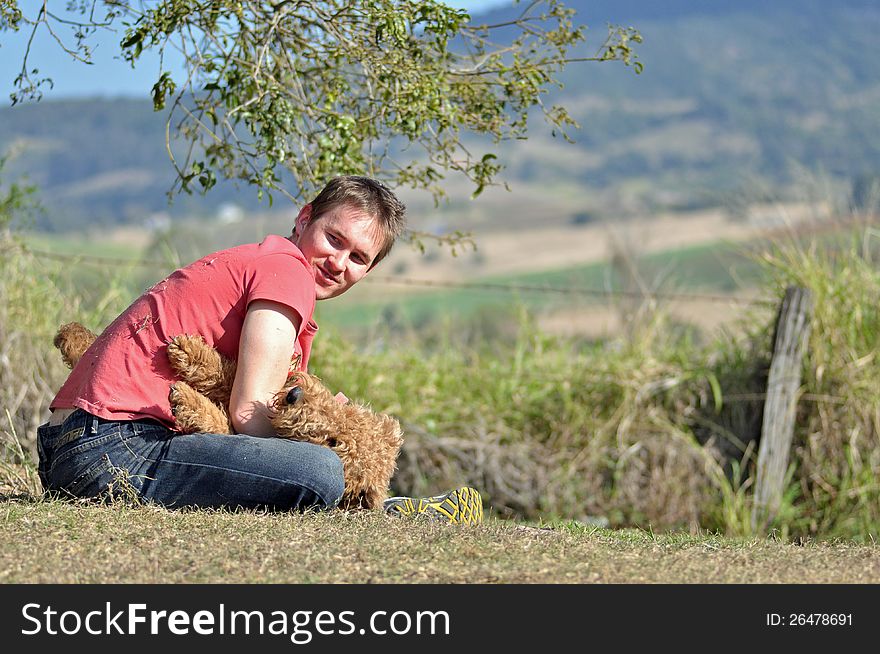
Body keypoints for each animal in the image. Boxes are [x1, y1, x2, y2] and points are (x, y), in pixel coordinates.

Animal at [56, 322, 408, 512]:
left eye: (334, 442)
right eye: (347, 412)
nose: (294, 395)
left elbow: (220, 421)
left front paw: (188, 400)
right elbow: (224, 374)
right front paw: (190, 352)